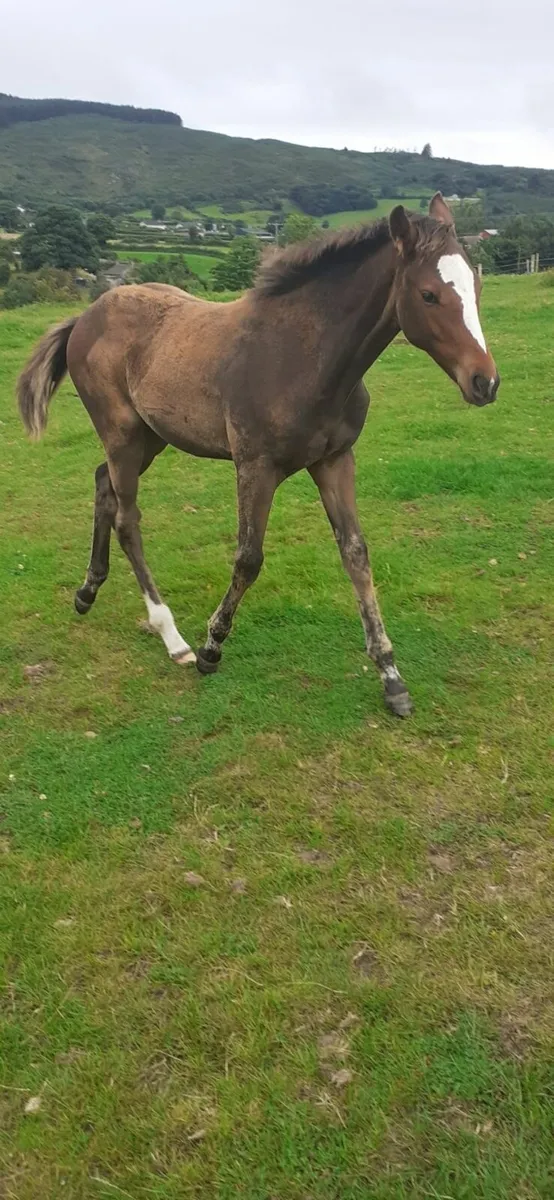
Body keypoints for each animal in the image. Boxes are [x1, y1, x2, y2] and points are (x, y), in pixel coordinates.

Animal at [17, 194, 499, 717]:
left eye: (476, 284)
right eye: (429, 294)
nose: (485, 382)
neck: (304, 357)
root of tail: (85, 316)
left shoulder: (335, 460)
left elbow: (356, 552)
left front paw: (391, 677)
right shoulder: (255, 466)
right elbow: (249, 557)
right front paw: (211, 647)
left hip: (150, 436)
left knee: (103, 483)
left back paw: (87, 591)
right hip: (122, 434)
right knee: (127, 518)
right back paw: (172, 637)